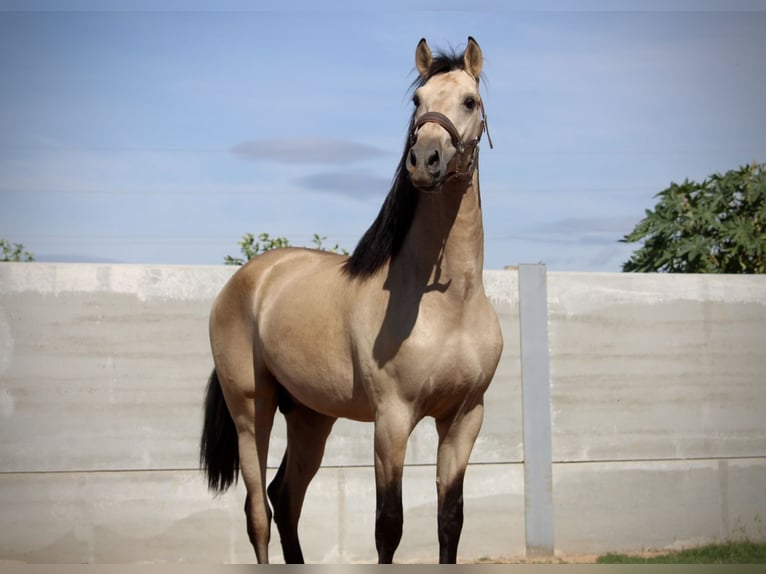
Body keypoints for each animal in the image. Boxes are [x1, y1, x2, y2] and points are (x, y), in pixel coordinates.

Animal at [201, 37, 508, 568]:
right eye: (417, 100)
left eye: (469, 101)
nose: (424, 160)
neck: (448, 304)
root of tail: (246, 281)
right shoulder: (392, 420)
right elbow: (389, 525)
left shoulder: (465, 417)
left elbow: (451, 520)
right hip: (252, 410)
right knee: (258, 510)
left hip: (311, 417)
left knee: (286, 497)